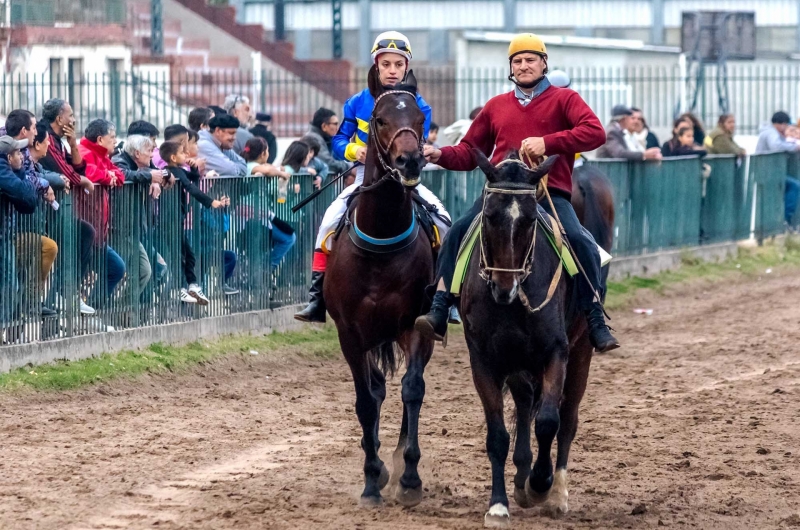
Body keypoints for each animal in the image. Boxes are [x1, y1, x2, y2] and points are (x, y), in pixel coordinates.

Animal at [324, 68, 434, 506]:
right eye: (380, 119)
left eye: (420, 120)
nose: (410, 160)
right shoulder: (350, 334)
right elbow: (366, 401)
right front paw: (372, 478)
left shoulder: (415, 325)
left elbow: (413, 389)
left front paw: (410, 475)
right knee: (376, 388)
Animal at [460, 151, 616, 524]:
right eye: (490, 215)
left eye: (531, 219)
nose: (504, 287)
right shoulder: (484, 360)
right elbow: (498, 435)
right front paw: (499, 504)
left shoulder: (555, 353)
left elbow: (548, 422)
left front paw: (540, 484)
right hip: (518, 362)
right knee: (524, 403)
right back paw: (521, 477)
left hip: (581, 352)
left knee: (567, 419)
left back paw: (555, 493)